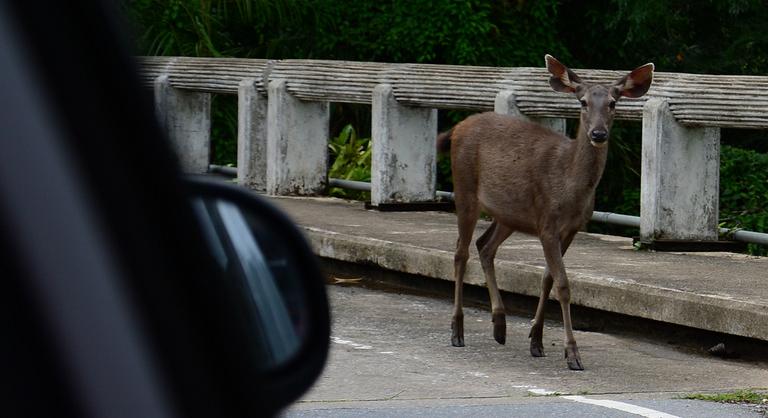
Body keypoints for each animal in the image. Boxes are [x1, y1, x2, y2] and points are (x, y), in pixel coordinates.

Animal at [438, 54, 656, 370]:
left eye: (613, 103)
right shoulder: (547, 223)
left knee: (484, 245)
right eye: (582, 102)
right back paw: (457, 330)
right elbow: (563, 284)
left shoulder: (571, 227)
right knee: (460, 252)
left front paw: (537, 340)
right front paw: (572, 353)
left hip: (509, 214)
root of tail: (456, 128)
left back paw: (500, 325)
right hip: (464, 188)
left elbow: (547, 279)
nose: (598, 133)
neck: (570, 187)